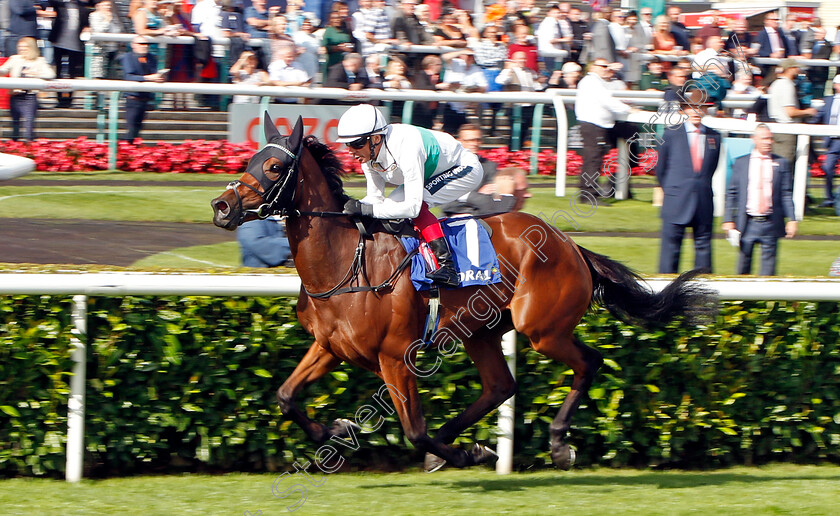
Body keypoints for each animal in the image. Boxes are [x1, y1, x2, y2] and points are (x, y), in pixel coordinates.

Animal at [210, 115, 708, 470]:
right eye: (249, 160)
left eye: (274, 166)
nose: (221, 206)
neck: (344, 262)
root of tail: (570, 245)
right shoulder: (330, 346)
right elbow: (286, 396)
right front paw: (334, 427)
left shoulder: (395, 357)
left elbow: (414, 430)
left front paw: (470, 453)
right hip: (481, 331)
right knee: (500, 386)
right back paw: (456, 442)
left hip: (541, 327)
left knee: (589, 362)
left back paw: (557, 443)